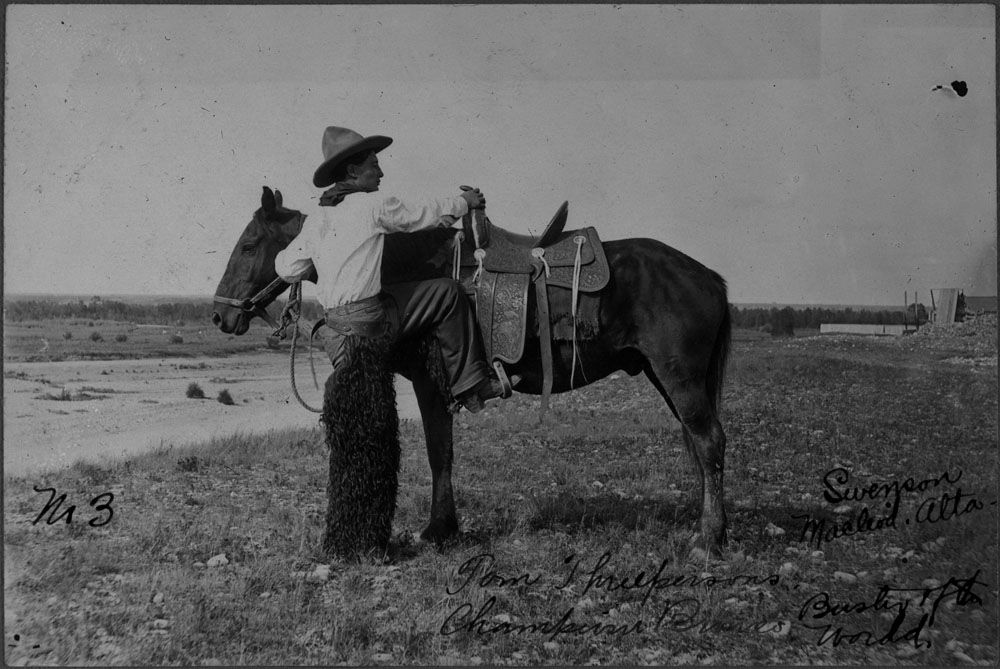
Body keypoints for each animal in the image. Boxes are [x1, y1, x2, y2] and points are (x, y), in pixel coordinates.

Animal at [211, 187, 732, 552]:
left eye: (250, 244)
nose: (220, 316)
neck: (404, 269)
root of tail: (708, 276)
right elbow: (443, 452)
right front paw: (444, 527)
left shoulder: (430, 383)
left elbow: (439, 452)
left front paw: (438, 528)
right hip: (666, 377)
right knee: (698, 445)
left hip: (679, 377)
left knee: (708, 441)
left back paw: (709, 539)